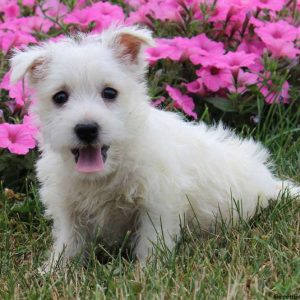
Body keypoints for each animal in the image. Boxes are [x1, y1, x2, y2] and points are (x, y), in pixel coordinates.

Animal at [9, 26, 298, 270]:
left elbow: (151, 240)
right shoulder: (69, 207)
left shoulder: (157, 202)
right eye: (60, 97)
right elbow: (69, 241)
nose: (87, 129)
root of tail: (269, 184)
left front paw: (146, 272)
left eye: (109, 93)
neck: (108, 171)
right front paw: (55, 270)